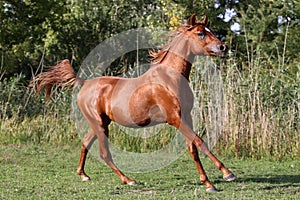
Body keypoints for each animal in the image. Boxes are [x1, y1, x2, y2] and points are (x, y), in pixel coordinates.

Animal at [32, 14, 234, 192]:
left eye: (210, 30)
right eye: (200, 33)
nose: (223, 47)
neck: (169, 78)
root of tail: (84, 83)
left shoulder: (186, 117)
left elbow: (193, 148)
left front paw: (208, 181)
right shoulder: (175, 118)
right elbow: (200, 142)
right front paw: (226, 175)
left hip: (101, 123)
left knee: (86, 143)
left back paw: (84, 175)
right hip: (99, 123)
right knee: (104, 153)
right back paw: (128, 180)